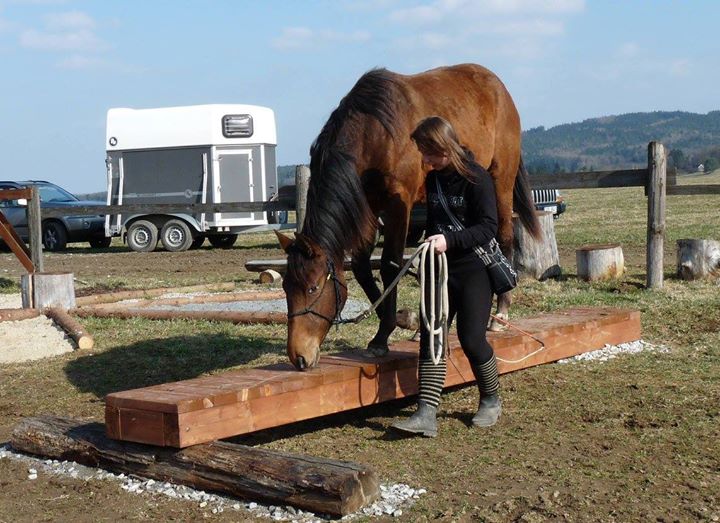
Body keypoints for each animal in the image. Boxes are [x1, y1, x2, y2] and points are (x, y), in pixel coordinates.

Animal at [278, 63, 540, 370]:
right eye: (286, 287)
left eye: (312, 288)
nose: (299, 357)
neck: (373, 134)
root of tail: (497, 86)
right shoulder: (368, 206)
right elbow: (363, 268)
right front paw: (402, 322)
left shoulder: (397, 204)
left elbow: (390, 265)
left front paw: (382, 336)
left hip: (500, 182)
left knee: (505, 237)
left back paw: (500, 315)